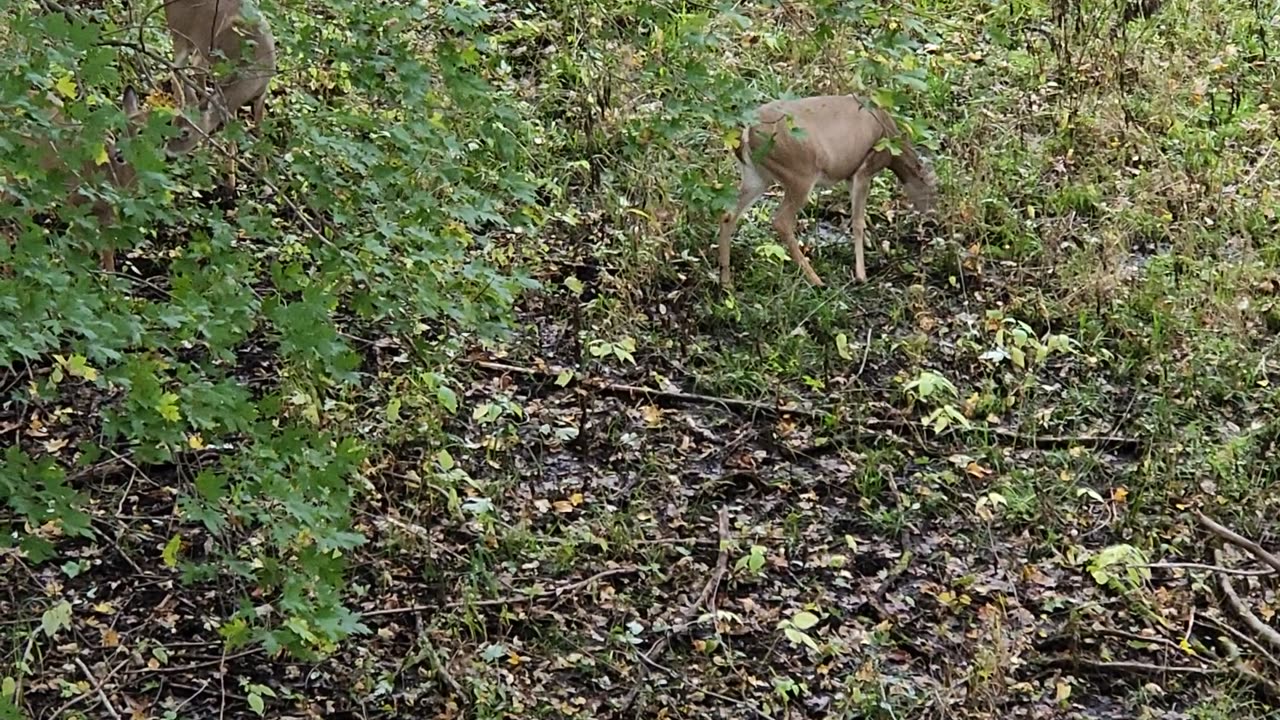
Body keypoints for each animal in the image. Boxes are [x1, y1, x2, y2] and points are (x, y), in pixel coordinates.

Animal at [161, 0, 277, 155]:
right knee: (175, 70)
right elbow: (229, 117)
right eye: (173, 124)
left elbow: (259, 129)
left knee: (195, 64)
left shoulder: (262, 92)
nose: (167, 154)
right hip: (178, 34)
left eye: (185, 132)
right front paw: (230, 156)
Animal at [716, 94, 938, 289]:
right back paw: (816, 280)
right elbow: (857, 221)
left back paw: (726, 282)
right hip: (800, 173)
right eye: (931, 190)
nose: (931, 217)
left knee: (728, 215)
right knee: (781, 221)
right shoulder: (865, 169)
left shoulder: (849, 174)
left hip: (757, 176)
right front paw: (861, 275)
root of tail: (746, 131)